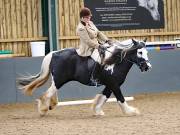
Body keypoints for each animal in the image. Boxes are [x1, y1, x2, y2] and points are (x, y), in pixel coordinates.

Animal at [16, 38, 152, 116]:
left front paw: (97, 111)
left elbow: (103, 97)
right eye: (140, 52)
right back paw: (43, 110)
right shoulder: (114, 85)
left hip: (58, 80)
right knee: (48, 93)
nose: (147, 67)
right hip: (60, 80)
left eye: (146, 52)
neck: (114, 61)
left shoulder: (111, 85)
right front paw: (131, 111)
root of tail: (54, 53)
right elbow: (121, 99)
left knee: (51, 91)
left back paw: (50, 105)